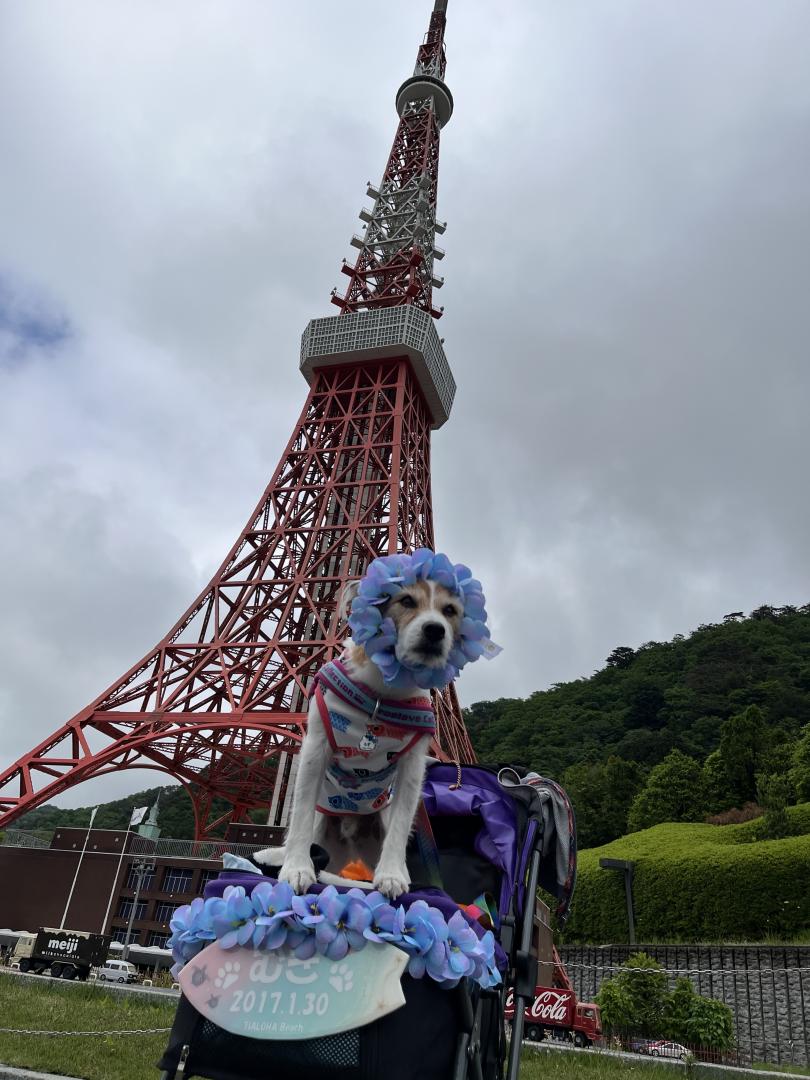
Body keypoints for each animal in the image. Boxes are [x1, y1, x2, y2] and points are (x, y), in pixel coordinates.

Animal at [253, 561, 468, 898]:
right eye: (407, 601)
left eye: (450, 610)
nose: (435, 629)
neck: (383, 693)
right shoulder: (315, 747)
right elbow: (300, 815)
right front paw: (297, 868)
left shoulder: (413, 766)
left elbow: (402, 823)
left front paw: (391, 875)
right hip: (324, 831)